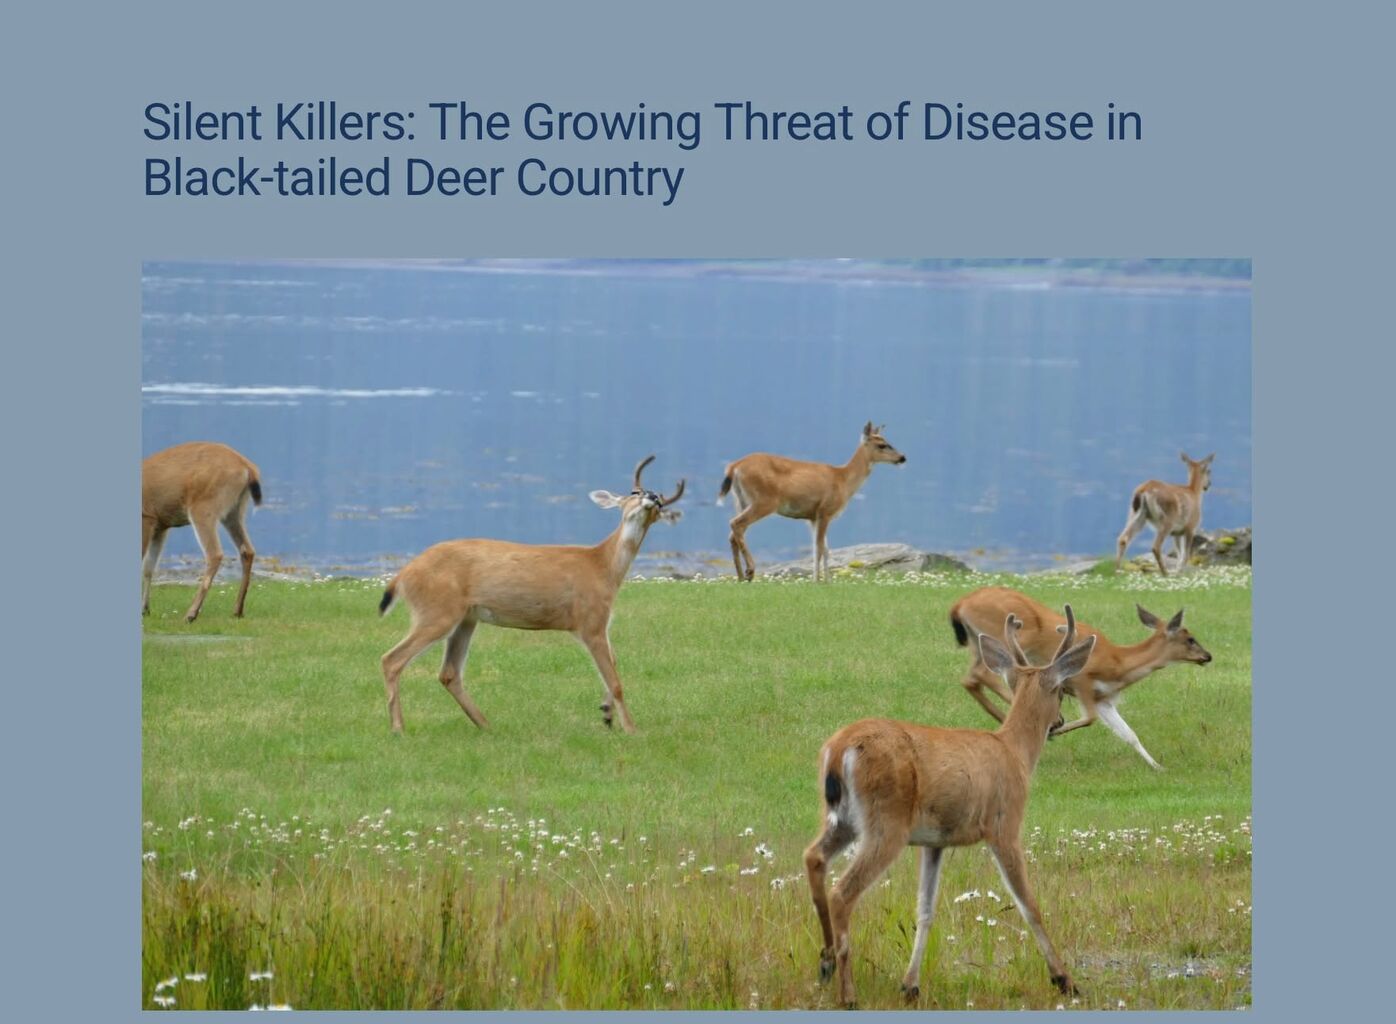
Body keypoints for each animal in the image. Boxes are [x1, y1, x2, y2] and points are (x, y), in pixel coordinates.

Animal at [142, 441, 262, 622]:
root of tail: (248, 468)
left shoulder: (146, 516)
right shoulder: (160, 524)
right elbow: (149, 567)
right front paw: (145, 609)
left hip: (203, 507)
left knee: (215, 554)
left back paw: (191, 614)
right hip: (234, 511)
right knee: (247, 550)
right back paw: (237, 610)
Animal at [376, 455, 684, 734]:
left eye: (660, 503)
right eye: (635, 492)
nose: (652, 497)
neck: (603, 567)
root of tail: (403, 575)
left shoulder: (595, 624)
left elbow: (615, 664)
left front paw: (606, 714)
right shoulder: (590, 619)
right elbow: (615, 680)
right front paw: (631, 729)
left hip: (465, 618)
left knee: (448, 673)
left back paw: (486, 725)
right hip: (437, 611)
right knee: (392, 659)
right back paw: (398, 728)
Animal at [717, 421, 906, 582]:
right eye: (882, 444)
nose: (903, 457)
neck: (843, 480)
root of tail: (734, 466)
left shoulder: (812, 517)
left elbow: (822, 549)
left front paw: (826, 581)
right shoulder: (825, 510)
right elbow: (820, 548)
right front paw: (818, 581)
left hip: (741, 500)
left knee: (733, 534)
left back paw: (741, 577)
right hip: (764, 501)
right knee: (736, 523)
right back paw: (750, 571)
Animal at [805, 608, 1094, 1007]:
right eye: (1063, 692)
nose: (1058, 723)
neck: (1015, 752)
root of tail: (839, 748)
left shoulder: (934, 841)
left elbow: (925, 909)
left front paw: (910, 985)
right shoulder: (1005, 825)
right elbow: (1029, 904)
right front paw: (1064, 979)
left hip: (843, 819)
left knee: (814, 858)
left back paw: (826, 962)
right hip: (887, 822)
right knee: (842, 892)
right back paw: (848, 994)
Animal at [949, 587, 1213, 770]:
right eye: (1190, 639)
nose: (1207, 656)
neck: (1117, 663)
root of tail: (959, 605)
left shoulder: (1102, 698)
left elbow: (1129, 734)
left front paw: (1158, 766)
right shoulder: (1083, 681)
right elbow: (1089, 718)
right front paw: (1053, 730)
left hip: (978, 644)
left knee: (970, 679)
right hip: (1007, 638)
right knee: (984, 675)